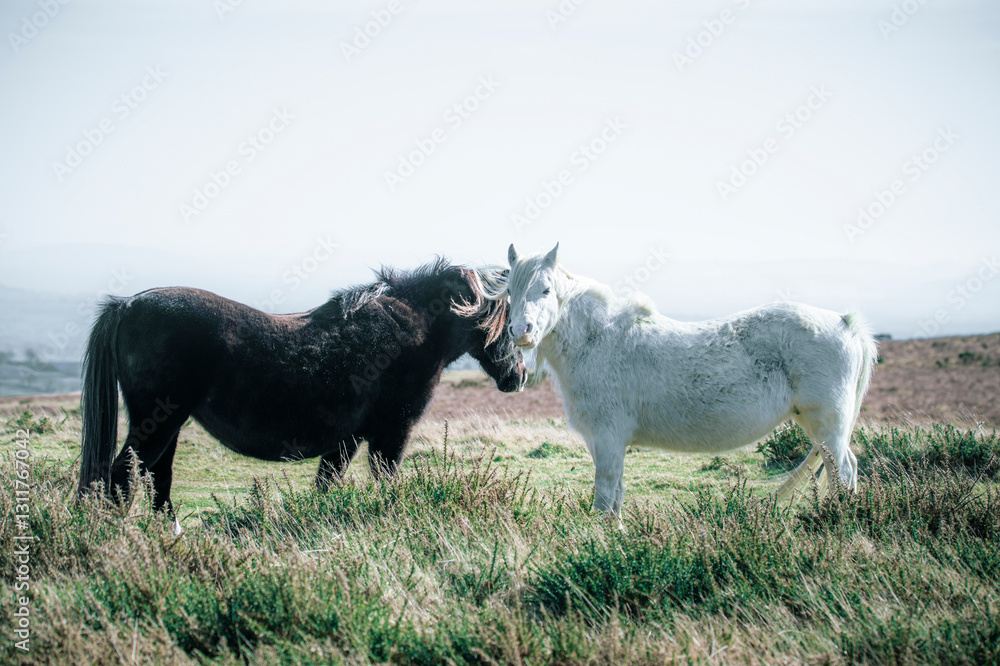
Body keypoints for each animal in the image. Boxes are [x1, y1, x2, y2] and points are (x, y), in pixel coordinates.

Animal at [77, 259, 526, 513]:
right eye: (509, 315)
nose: (518, 376)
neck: (412, 329)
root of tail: (127, 304)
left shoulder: (346, 440)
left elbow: (327, 486)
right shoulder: (391, 433)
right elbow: (385, 481)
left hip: (166, 426)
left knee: (157, 481)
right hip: (155, 425)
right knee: (120, 479)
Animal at [492, 244, 877, 514]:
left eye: (545, 289)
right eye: (511, 291)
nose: (521, 331)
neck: (597, 340)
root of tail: (845, 323)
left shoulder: (608, 437)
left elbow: (604, 494)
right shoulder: (603, 441)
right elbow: (616, 495)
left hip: (827, 426)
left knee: (843, 471)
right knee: (846, 467)